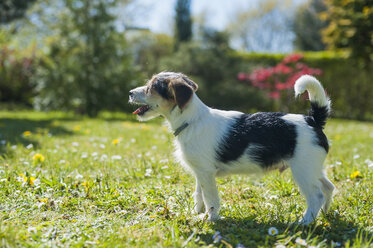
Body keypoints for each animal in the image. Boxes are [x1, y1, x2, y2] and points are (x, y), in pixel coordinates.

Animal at [128, 71, 334, 225]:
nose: (130, 92)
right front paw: (197, 213)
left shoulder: (206, 173)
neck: (192, 119)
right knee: (328, 187)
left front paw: (210, 218)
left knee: (316, 195)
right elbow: (199, 194)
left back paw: (305, 222)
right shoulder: (200, 172)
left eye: (151, 87)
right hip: (313, 168)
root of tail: (313, 119)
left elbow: (210, 198)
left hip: (303, 170)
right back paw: (325, 214)